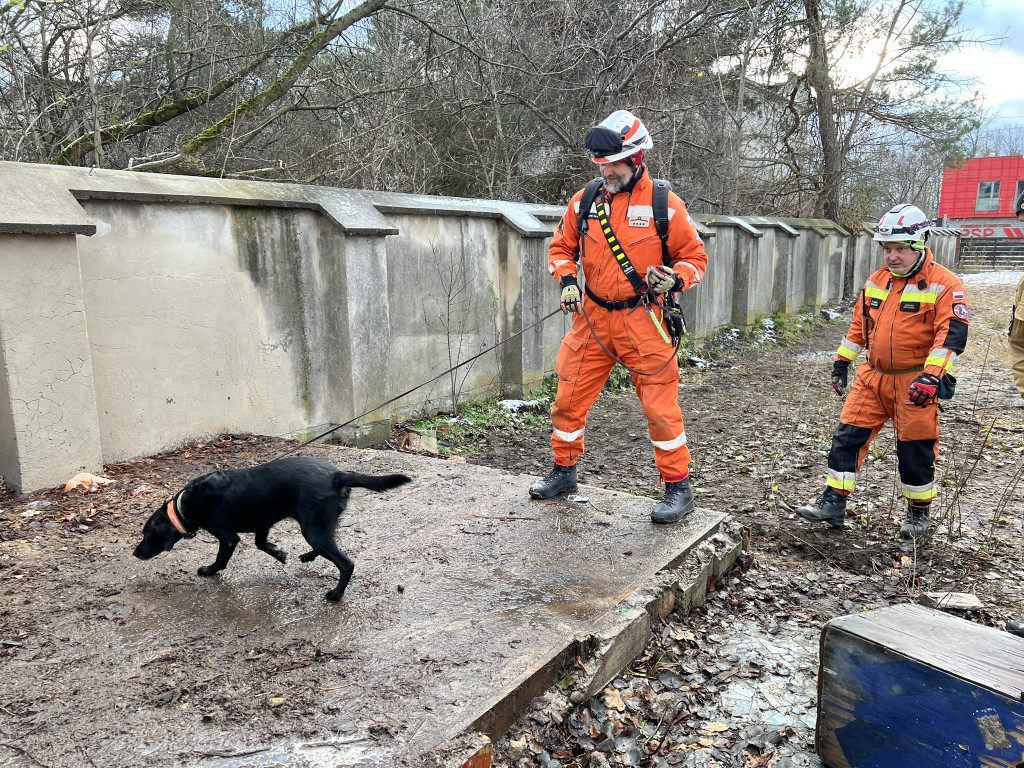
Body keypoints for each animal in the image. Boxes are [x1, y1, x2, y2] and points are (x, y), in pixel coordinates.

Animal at [131, 456, 407, 602]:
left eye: (147, 535)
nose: (135, 553)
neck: (185, 504)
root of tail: (338, 475)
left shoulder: (227, 536)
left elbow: (221, 558)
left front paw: (209, 570)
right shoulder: (263, 524)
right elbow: (261, 543)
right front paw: (279, 553)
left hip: (312, 529)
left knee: (345, 563)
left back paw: (336, 594)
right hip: (318, 527)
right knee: (326, 547)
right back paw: (307, 557)